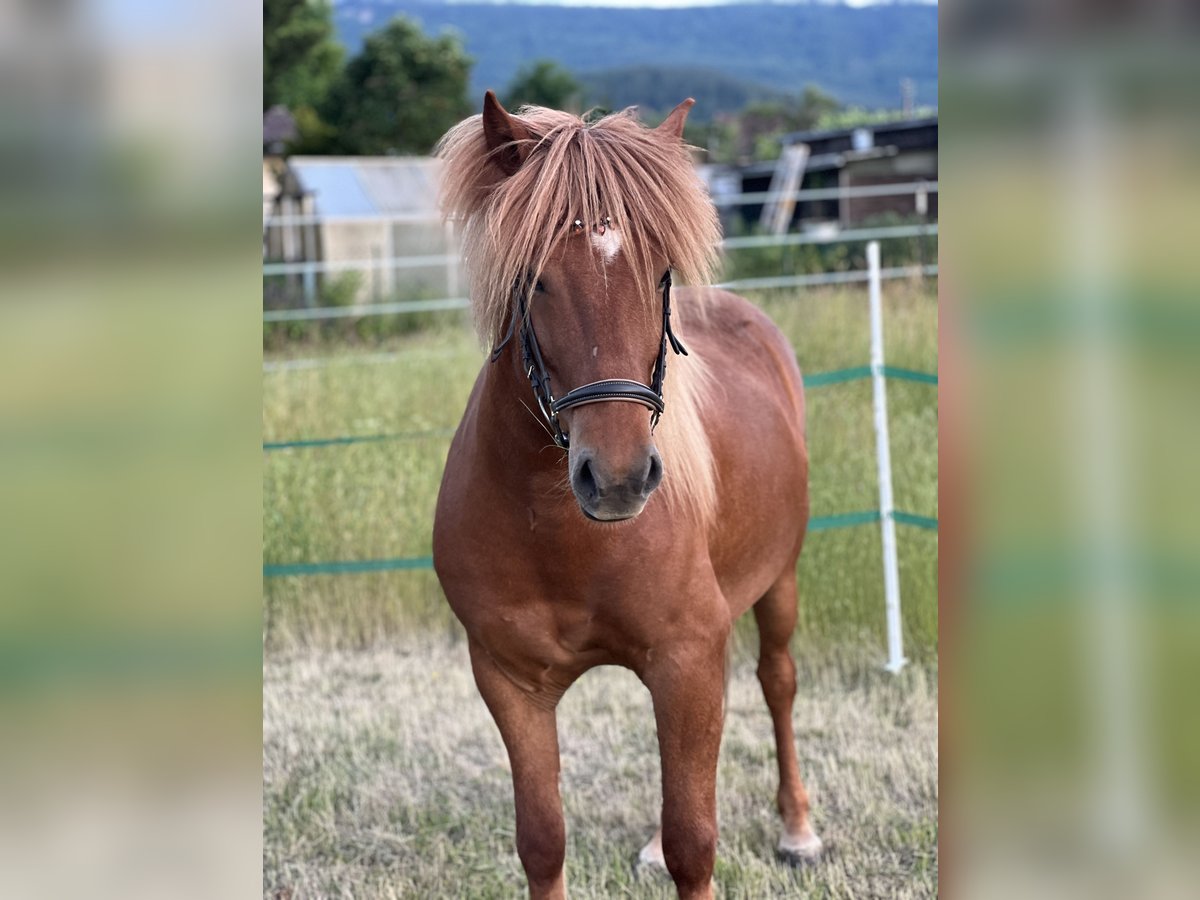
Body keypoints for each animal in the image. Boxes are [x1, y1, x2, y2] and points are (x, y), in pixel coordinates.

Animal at [434, 95, 825, 897]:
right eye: (535, 277)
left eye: (659, 273)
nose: (616, 476)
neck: (561, 536)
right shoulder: (510, 682)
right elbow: (543, 842)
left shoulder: (687, 661)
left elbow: (693, 845)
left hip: (780, 582)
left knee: (778, 682)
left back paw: (798, 828)